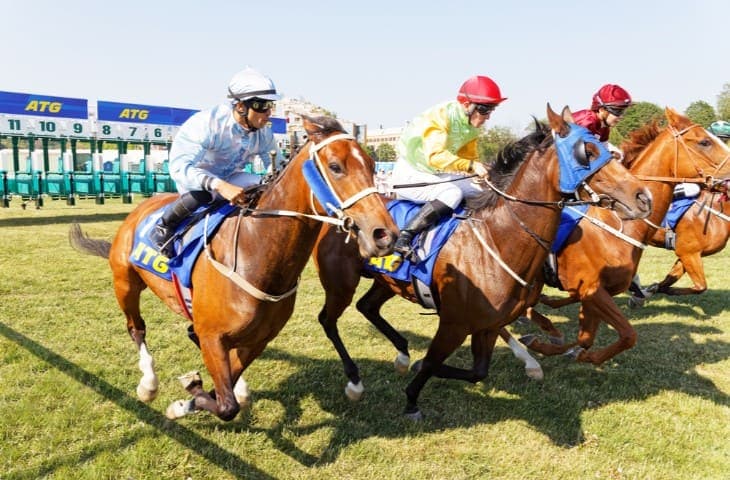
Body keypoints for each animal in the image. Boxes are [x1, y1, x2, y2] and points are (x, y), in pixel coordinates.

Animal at [69, 115, 399, 422]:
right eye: (335, 166)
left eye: (372, 165)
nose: (384, 235)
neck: (256, 253)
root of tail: (140, 209)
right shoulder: (212, 337)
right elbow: (226, 406)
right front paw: (186, 396)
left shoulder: (258, 340)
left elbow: (226, 391)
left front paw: (197, 396)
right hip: (125, 283)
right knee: (136, 328)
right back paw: (148, 384)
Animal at [313, 104, 652, 419]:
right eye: (587, 152)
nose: (643, 197)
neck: (499, 239)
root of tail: (340, 212)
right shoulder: (454, 323)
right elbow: (435, 361)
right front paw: (412, 399)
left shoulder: (488, 324)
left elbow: (478, 372)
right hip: (341, 283)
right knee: (328, 320)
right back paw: (355, 383)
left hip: (388, 283)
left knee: (367, 307)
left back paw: (403, 355)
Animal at [516, 108, 730, 366]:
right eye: (705, 142)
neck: (618, 227)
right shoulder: (595, 289)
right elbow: (628, 334)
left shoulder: (597, 293)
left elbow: (587, 338)